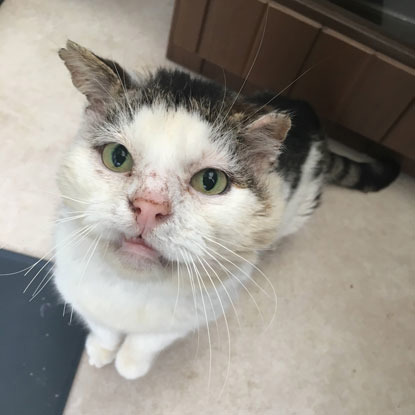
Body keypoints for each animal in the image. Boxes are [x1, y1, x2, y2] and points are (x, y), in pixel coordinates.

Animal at [52, 39, 400, 380]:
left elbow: (147, 341)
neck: (132, 287)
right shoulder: (74, 288)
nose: (148, 207)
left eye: (210, 181)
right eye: (117, 157)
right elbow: (102, 326)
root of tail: (309, 112)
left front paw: (129, 364)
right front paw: (101, 349)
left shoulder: (196, 314)